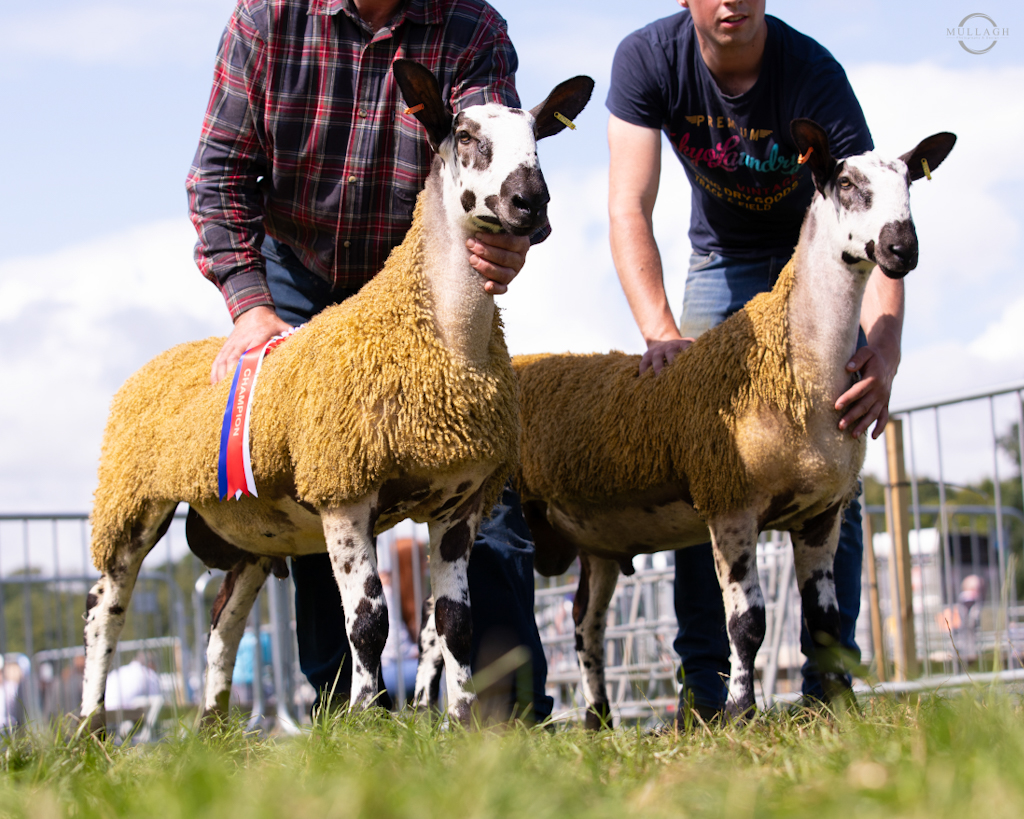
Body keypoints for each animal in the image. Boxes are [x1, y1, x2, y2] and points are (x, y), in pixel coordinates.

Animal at [83, 60, 598, 733]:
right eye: (464, 136)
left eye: (538, 137)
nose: (530, 203)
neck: (446, 338)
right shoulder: (343, 490)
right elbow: (369, 623)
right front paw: (365, 717)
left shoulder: (461, 500)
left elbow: (455, 625)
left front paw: (461, 719)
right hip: (130, 501)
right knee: (105, 608)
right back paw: (89, 728)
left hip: (253, 531)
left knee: (222, 627)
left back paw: (214, 731)